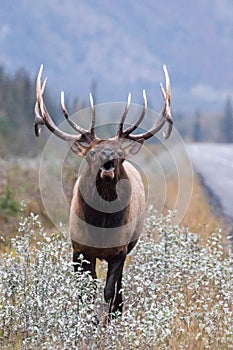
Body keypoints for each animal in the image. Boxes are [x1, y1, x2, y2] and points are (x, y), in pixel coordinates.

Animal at [34, 65, 173, 320]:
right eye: (91, 152)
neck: (100, 227)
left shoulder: (119, 250)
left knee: (119, 285)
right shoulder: (79, 249)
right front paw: (88, 321)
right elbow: (85, 291)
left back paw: (119, 310)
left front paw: (107, 321)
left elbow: (109, 290)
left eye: (120, 153)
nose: (107, 160)